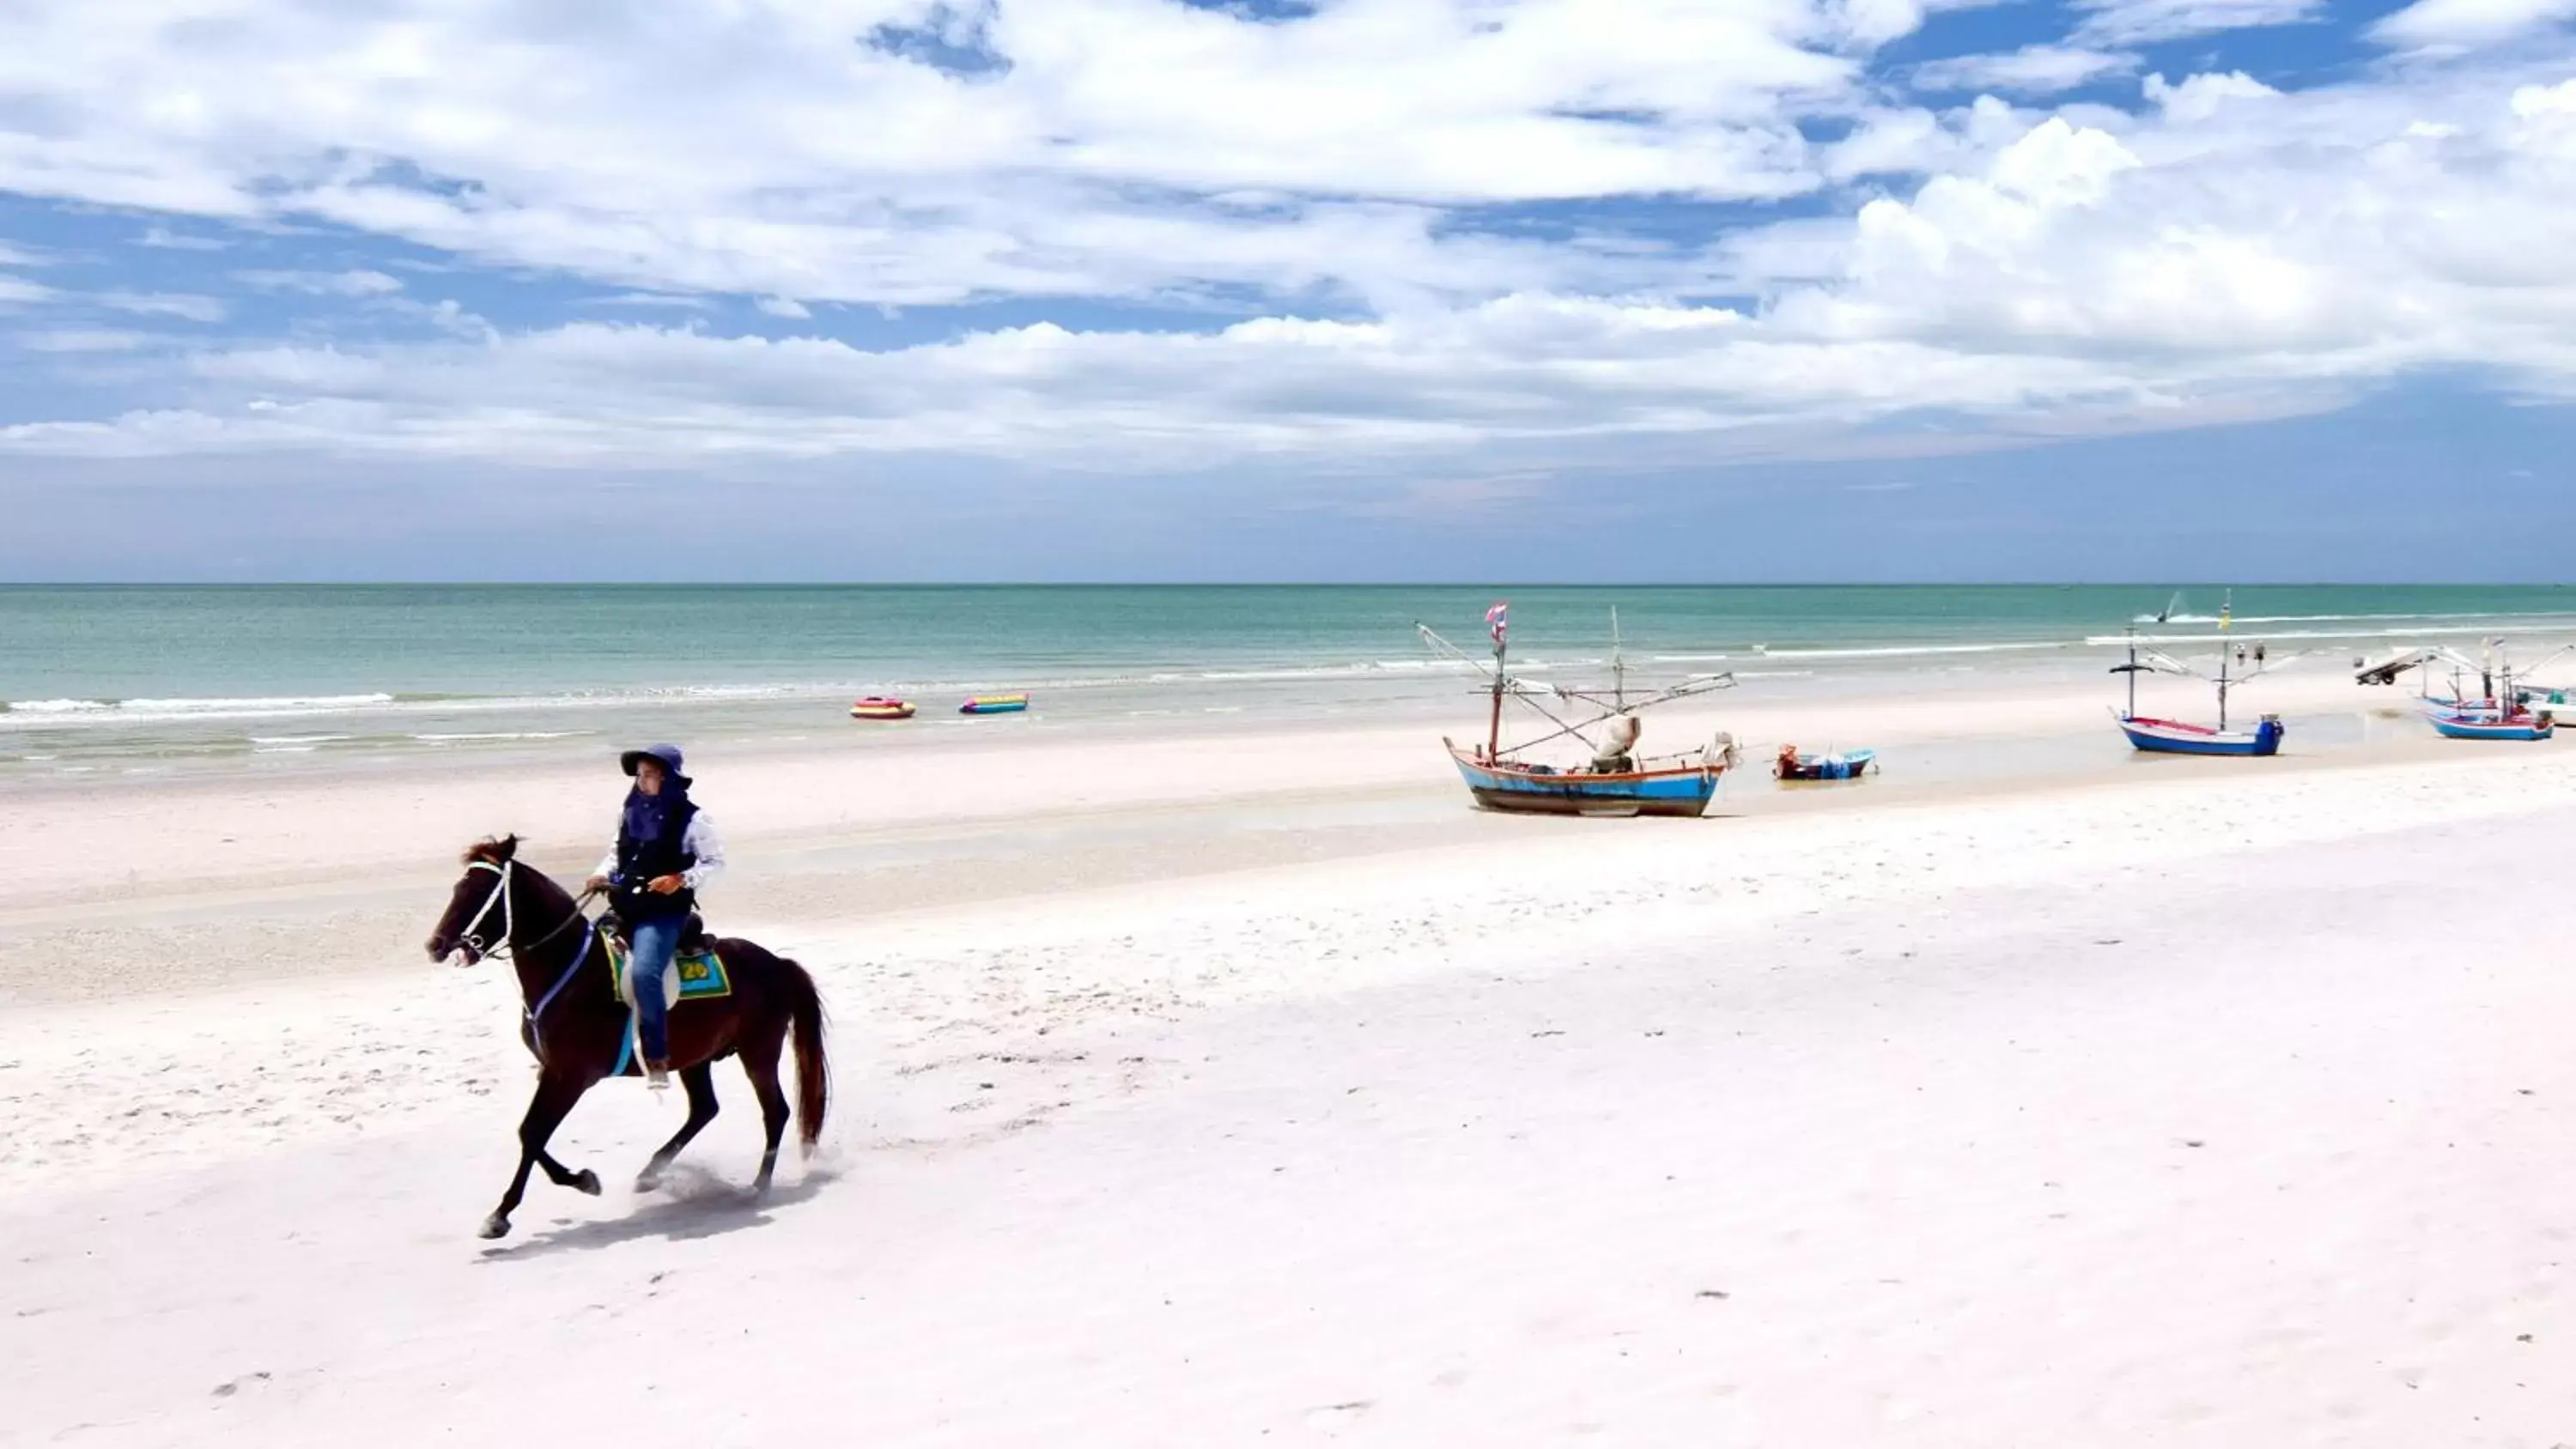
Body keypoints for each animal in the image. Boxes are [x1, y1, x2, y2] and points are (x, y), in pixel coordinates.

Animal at [420, 839, 824, 1235]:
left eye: (479, 890)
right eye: (457, 888)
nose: (435, 945)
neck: (573, 972)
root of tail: (778, 963)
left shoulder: (571, 1076)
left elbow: (533, 1133)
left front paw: (502, 1214)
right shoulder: (551, 1071)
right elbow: (529, 1133)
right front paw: (581, 1180)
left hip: (759, 1051)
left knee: (775, 1111)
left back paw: (758, 1187)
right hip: (696, 1058)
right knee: (705, 1109)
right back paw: (649, 1175)